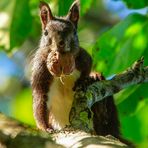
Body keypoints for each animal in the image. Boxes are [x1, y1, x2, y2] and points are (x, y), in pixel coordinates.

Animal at [31, 1, 133, 146]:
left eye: (74, 32)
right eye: (45, 33)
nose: (60, 43)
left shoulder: (83, 57)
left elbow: (88, 66)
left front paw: (85, 79)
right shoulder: (40, 72)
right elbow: (39, 101)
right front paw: (44, 128)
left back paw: (96, 82)